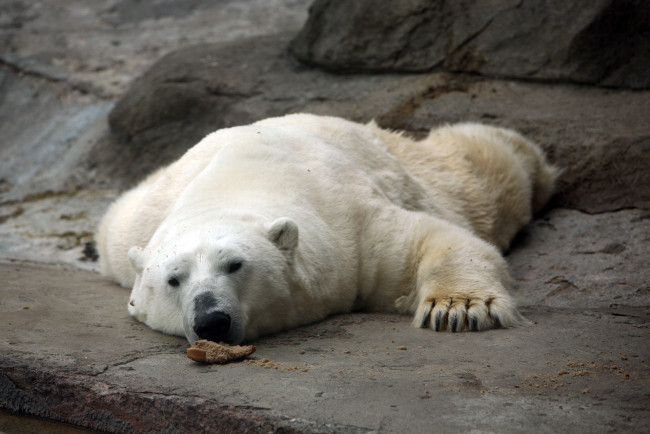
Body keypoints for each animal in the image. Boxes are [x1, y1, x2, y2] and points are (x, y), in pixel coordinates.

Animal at [96, 113, 559, 344]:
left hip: (417, 167)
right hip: (131, 220)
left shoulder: (350, 224)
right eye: (173, 280)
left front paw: (458, 309)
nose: (211, 320)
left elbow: (431, 239)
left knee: (482, 171)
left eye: (234, 265)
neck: (235, 184)